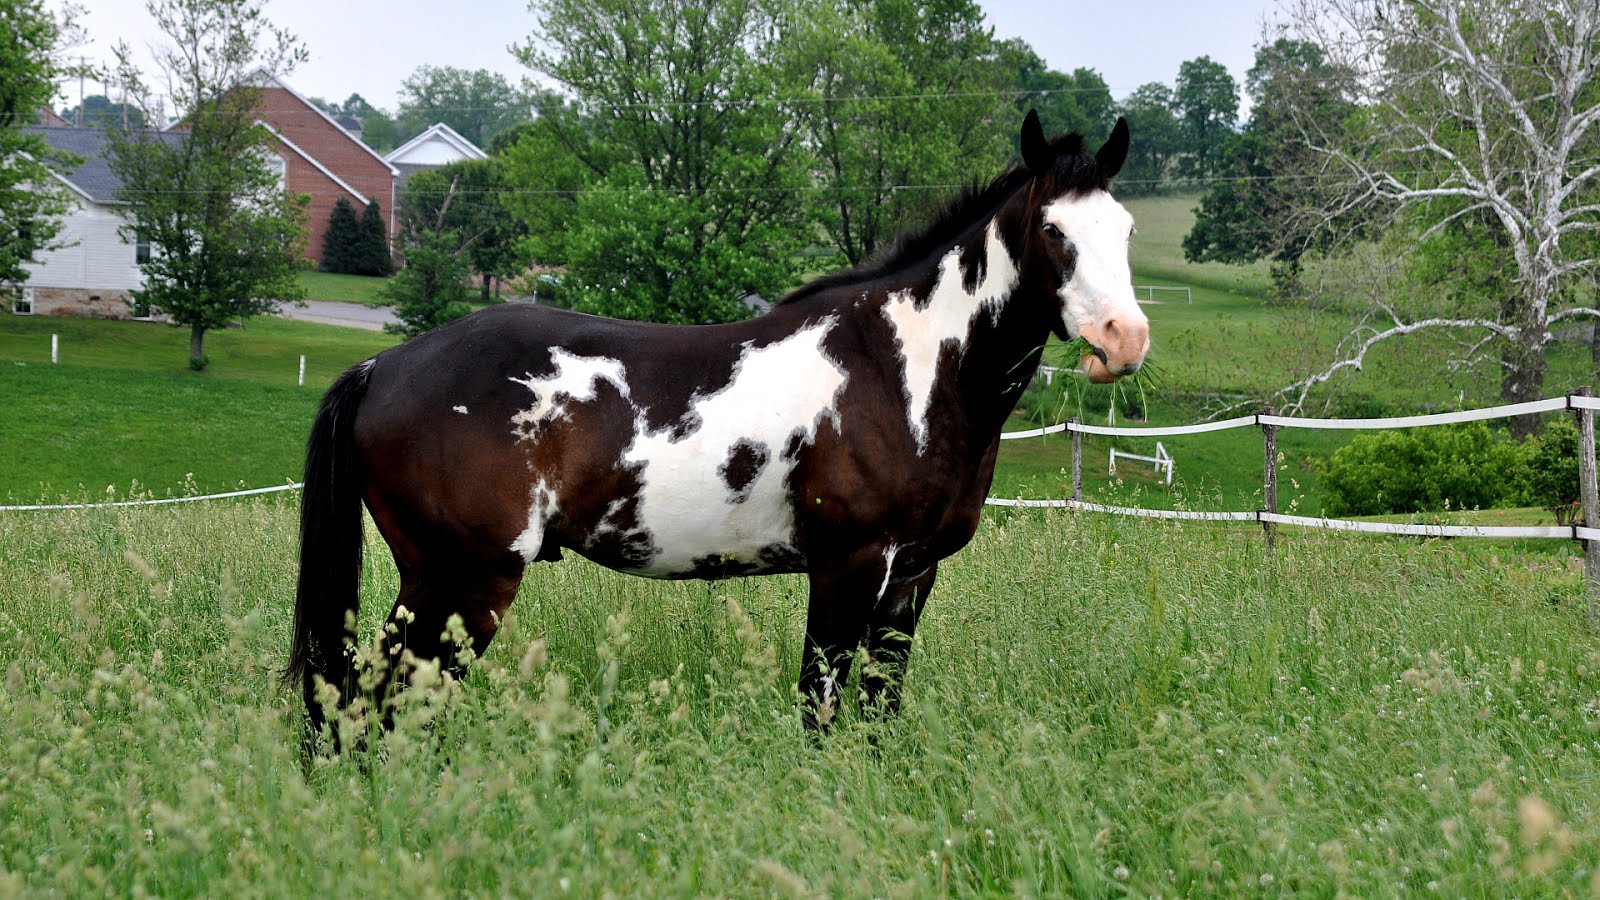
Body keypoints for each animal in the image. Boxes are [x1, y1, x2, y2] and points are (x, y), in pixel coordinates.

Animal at [287, 110, 1150, 735]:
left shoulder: (912, 575)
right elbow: (820, 711)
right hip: (463, 579)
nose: (1125, 340)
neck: (900, 369)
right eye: (1053, 230)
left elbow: (879, 712)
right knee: (379, 700)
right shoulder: (849, 566)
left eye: (1126, 231)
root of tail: (382, 367)